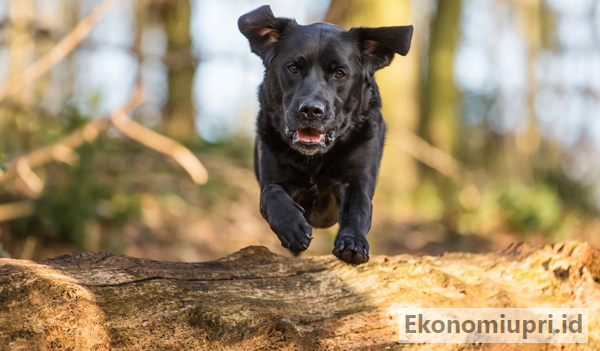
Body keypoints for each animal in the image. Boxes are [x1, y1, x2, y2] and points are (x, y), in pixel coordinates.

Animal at [239, 5, 412, 266]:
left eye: (339, 73)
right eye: (292, 68)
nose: (311, 110)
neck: (315, 161)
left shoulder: (356, 182)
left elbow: (358, 210)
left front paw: (353, 243)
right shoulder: (271, 176)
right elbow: (271, 194)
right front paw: (293, 228)